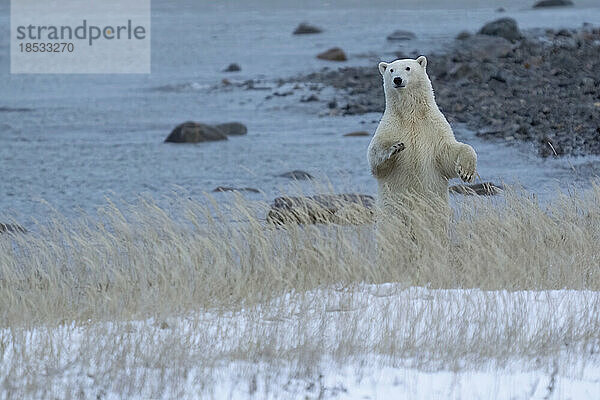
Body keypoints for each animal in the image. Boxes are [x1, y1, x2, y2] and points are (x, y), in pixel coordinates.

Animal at [368, 56, 476, 216]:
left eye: (408, 68)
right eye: (391, 70)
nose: (397, 80)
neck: (411, 115)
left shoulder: (434, 127)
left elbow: (448, 153)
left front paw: (466, 172)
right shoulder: (390, 126)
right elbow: (376, 159)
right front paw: (395, 147)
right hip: (391, 211)